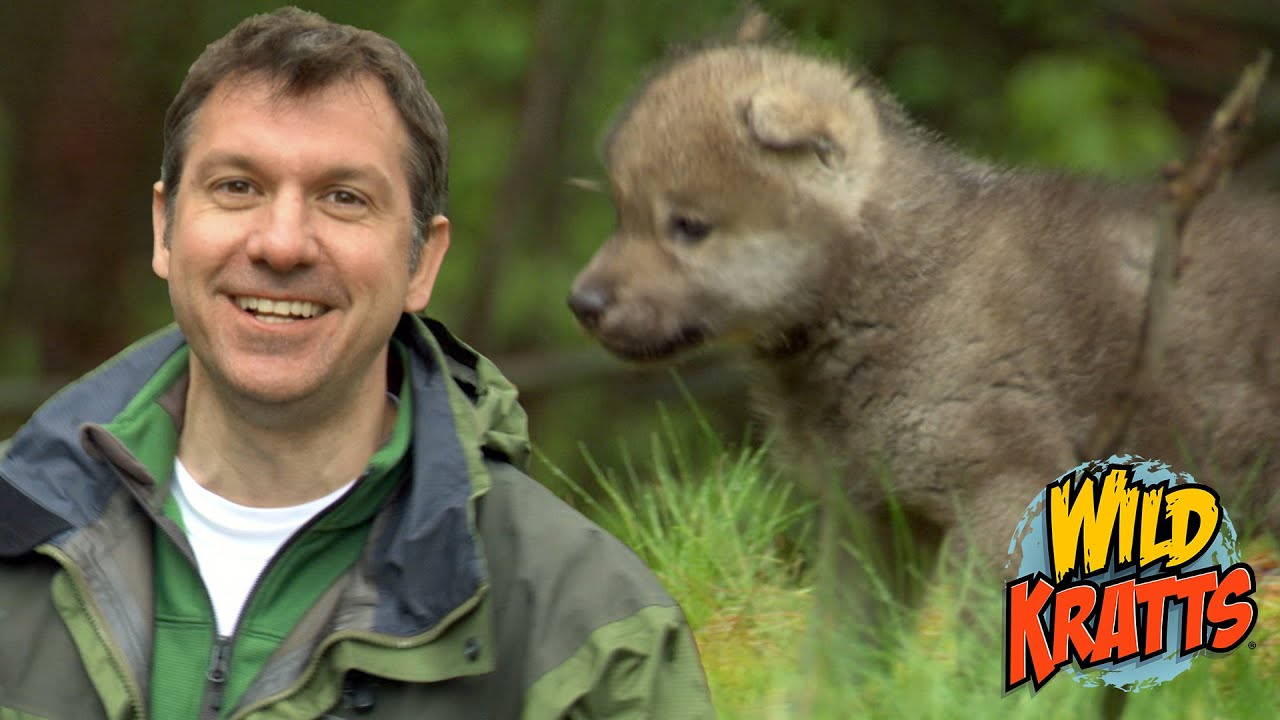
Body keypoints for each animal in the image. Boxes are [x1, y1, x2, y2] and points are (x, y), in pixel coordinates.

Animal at [567, 42, 1279, 590]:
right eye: (621, 213)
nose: (582, 304)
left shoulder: (1000, 494)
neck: (898, 286)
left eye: (689, 226)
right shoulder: (868, 515)